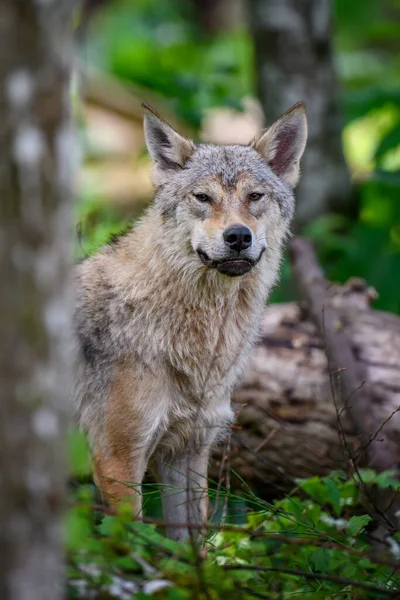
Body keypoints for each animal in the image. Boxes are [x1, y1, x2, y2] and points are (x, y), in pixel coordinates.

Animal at [72, 101, 308, 540]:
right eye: (203, 197)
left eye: (254, 196)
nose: (238, 236)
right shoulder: (117, 461)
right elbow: (136, 544)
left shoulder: (188, 450)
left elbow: (191, 544)